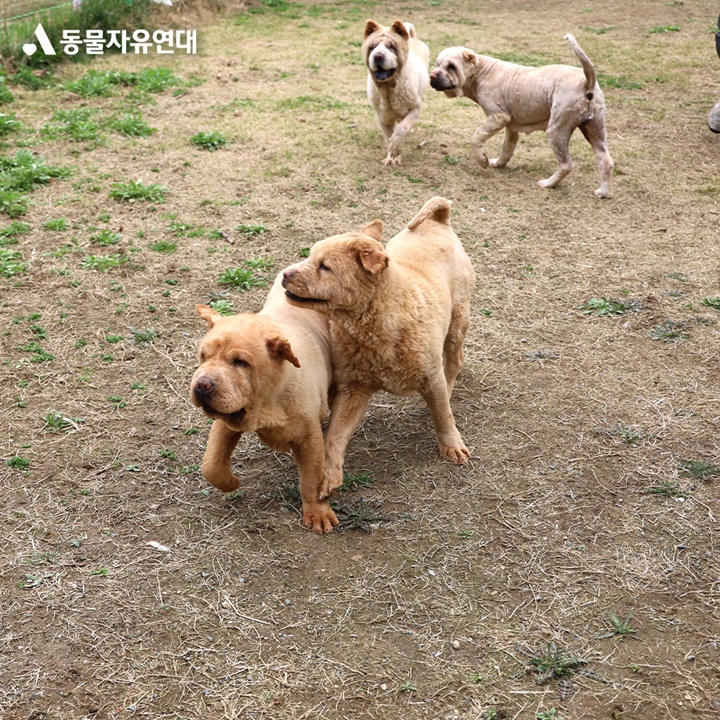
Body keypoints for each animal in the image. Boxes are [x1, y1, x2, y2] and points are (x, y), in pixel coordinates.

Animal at [190, 273, 339, 534]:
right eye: (203, 357)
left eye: (240, 362)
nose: (202, 384)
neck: (266, 403)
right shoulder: (226, 421)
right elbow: (211, 464)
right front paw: (231, 482)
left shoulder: (309, 436)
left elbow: (312, 478)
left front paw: (317, 512)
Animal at [282, 197, 475, 498]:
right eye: (310, 257)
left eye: (325, 266)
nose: (285, 274)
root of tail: (438, 221)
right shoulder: (353, 389)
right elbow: (334, 435)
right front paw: (328, 475)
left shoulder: (430, 376)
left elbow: (443, 416)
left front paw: (451, 445)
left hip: (457, 321)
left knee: (453, 364)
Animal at [362, 19, 429, 166]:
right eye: (372, 47)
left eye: (391, 47)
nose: (378, 56)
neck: (389, 88)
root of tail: (412, 38)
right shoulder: (383, 119)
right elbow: (388, 137)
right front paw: (391, 157)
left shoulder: (415, 109)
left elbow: (401, 129)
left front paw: (396, 148)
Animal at [430, 34, 613, 198]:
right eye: (437, 64)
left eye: (451, 66)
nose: (431, 76)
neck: (481, 72)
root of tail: (586, 82)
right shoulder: (512, 128)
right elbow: (507, 149)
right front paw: (498, 164)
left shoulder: (498, 117)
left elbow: (476, 138)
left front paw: (483, 160)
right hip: (594, 131)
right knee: (606, 161)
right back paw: (603, 193)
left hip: (557, 131)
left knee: (566, 165)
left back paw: (548, 184)